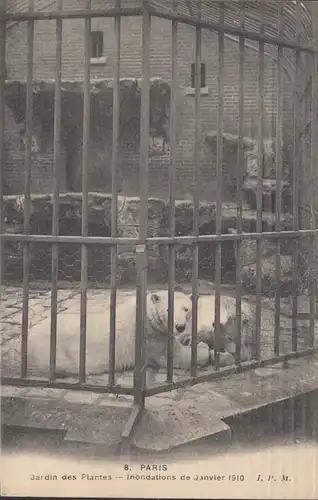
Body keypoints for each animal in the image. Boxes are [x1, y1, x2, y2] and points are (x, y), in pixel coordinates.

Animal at [24, 292, 211, 376]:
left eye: (186, 309)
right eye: (167, 309)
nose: (179, 326)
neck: (147, 315)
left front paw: (190, 339)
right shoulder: (151, 339)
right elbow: (174, 357)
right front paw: (204, 349)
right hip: (52, 350)